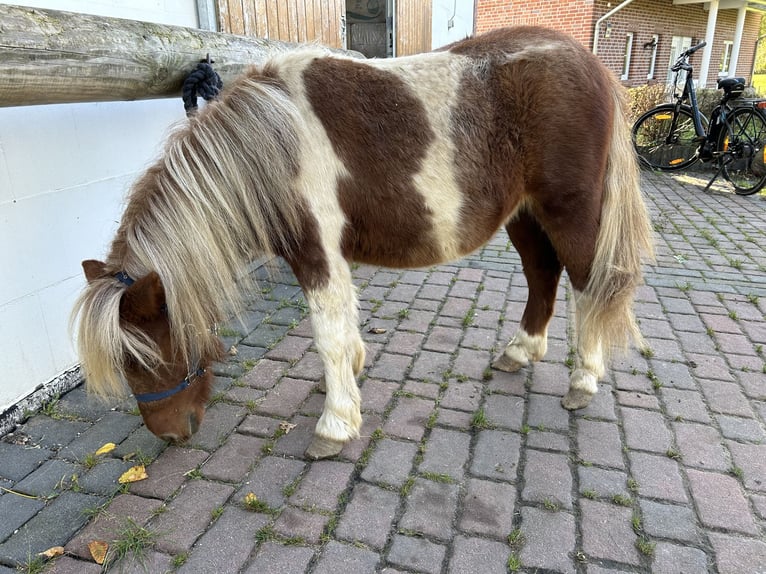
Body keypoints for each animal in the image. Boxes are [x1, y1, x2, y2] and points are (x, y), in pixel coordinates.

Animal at [75, 27, 656, 462]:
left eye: (142, 356)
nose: (172, 433)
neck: (274, 142)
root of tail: (591, 63)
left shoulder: (315, 252)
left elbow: (328, 335)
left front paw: (335, 425)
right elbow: (344, 325)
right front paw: (351, 377)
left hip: (570, 212)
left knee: (588, 284)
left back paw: (583, 381)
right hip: (526, 215)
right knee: (543, 275)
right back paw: (520, 351)